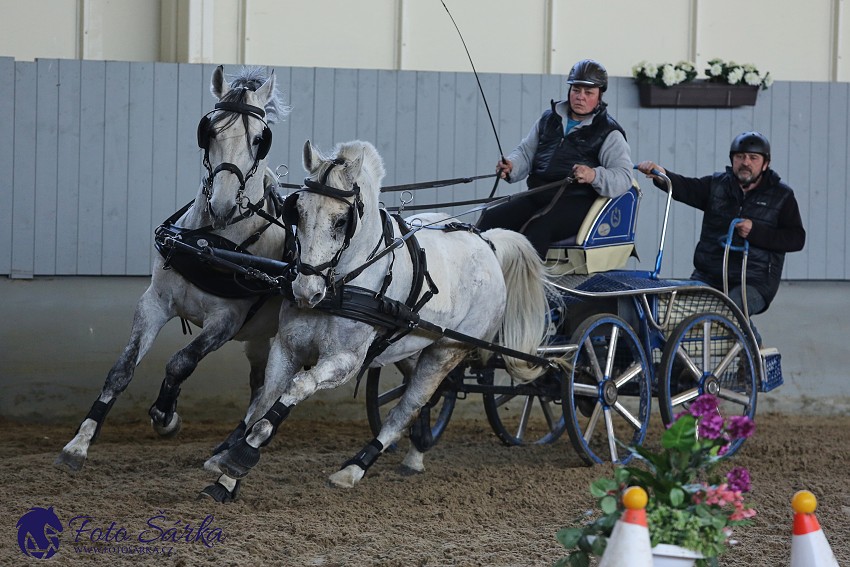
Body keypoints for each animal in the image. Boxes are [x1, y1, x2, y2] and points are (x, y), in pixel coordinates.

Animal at [56, 64, 290, 478]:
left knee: (273, 392)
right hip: (260, 339)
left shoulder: (226, 321)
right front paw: (79, 443)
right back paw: (226, 447)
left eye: (260, 139)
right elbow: (121, 369)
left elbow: (180, 362)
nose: (223, 204)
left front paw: (166, 417)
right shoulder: (154, 302)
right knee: (260, 386)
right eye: (209, 130)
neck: (209, 244)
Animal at [202, 139, 552, 502]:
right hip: (413, 345)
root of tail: (487, 243)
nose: (305, 291)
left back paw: (355, 468)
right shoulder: (287, 347)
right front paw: (225, 476)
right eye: (298, 211)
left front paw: (242, 455)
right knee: (427, 398)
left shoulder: (346, 361)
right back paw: (417, 451)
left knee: (409, 406)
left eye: (342, 220)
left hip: (447, 350)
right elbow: (264, 401)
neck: (341, 286)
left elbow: (297, 388)